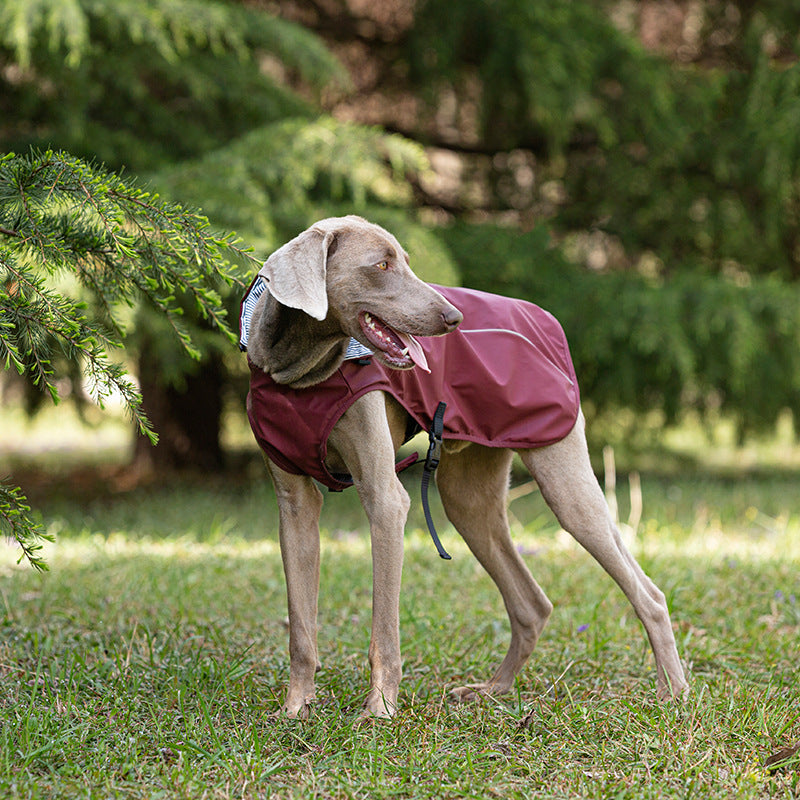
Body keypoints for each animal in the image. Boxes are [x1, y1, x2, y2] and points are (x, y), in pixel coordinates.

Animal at [245, 214, 688, 720]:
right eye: (381, 265)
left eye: (407, 260)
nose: (453, 318)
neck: (300, 373)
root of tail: (548, 320)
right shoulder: (294, 506)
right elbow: (300, 628)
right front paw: (294, 710)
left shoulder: (385, 498)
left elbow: (384, 631)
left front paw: (379, 710)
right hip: (469, 498)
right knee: (532, 604)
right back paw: (492, 690)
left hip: (564, 478)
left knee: (648, 594)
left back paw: (674, 693)